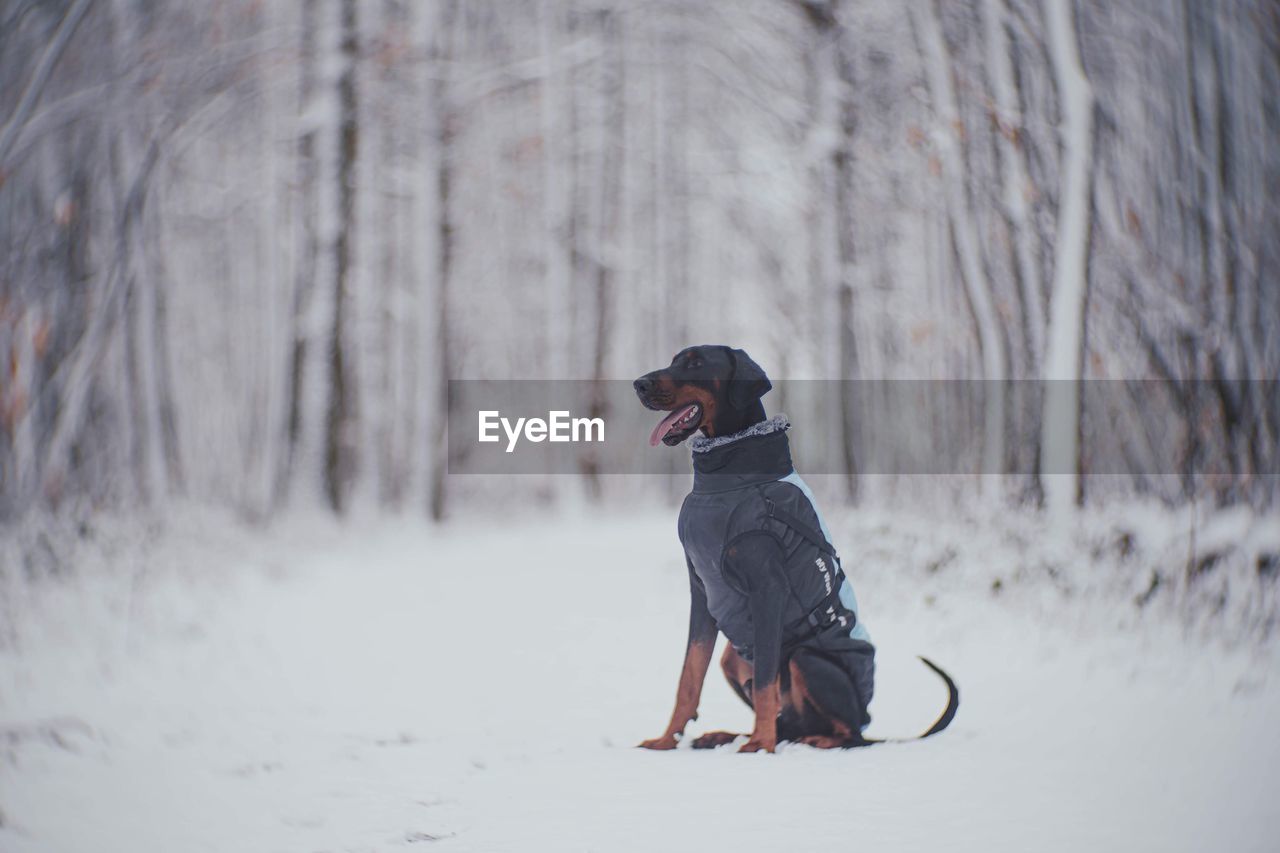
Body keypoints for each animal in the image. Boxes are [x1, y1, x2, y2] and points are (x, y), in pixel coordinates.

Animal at [634, 343, 957, 747]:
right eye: (674, 360)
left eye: (695, 363)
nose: (638, 384)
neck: (727, 476)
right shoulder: (703, 591)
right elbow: (689, 676)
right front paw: (665, 742)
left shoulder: (768, 589)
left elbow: (765, 681)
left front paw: (760, 747)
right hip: (734, 656)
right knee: (787, 718)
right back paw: (730, 735)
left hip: (806, 658)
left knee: (848, 733)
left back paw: (805, 740)